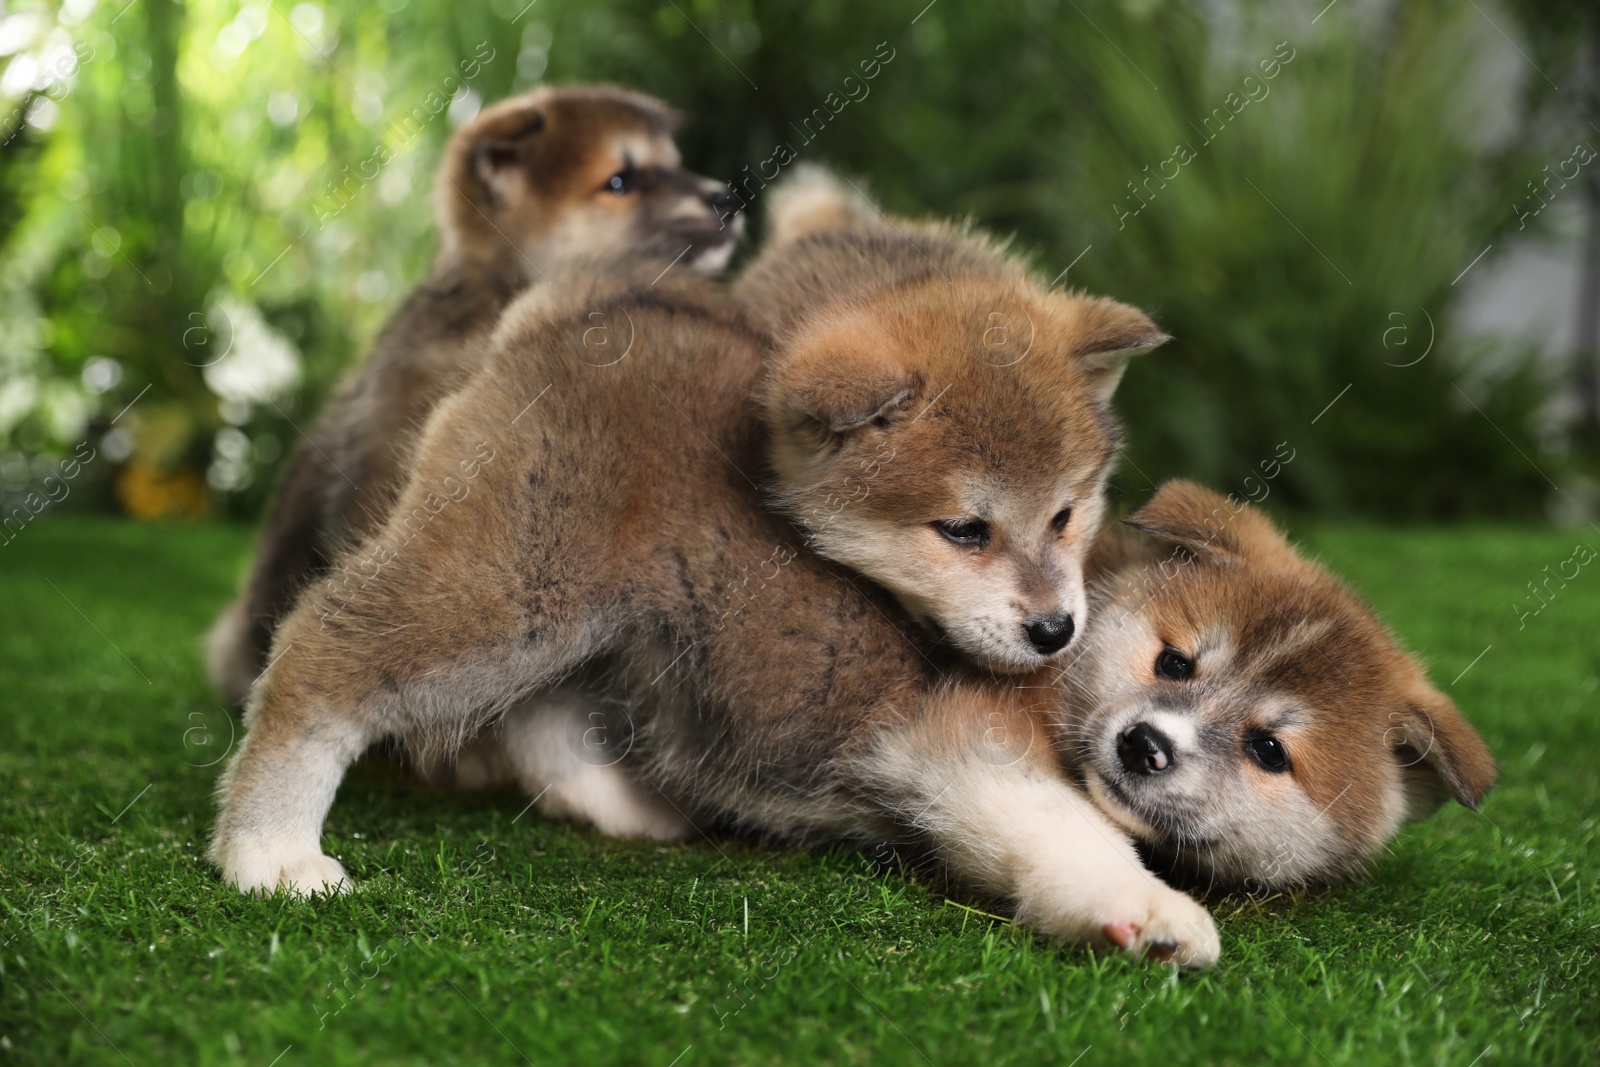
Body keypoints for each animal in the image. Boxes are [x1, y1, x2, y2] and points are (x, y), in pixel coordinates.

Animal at [212, 171, 1235, 966]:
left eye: (1066, 514)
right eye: (961, 530)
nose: (1056, 630)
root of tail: (573, 309)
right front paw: (1148, 905)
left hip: (585, 611)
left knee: (536, 712)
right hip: (510, 580)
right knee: (323, 649)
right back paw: (269, 847)